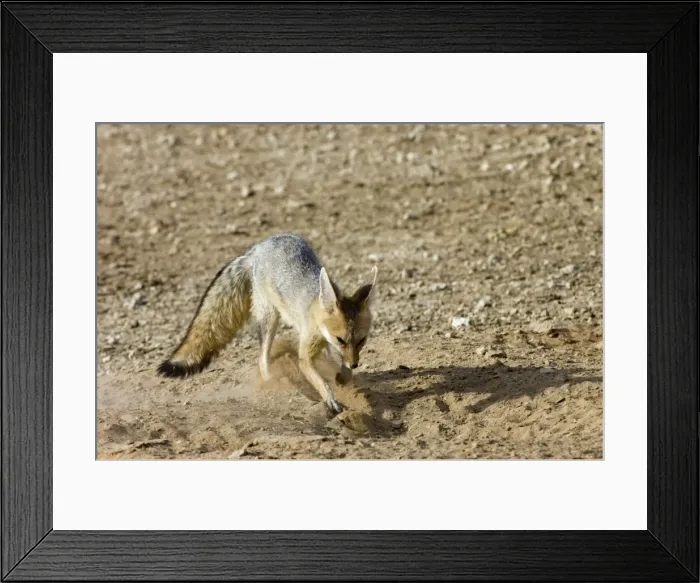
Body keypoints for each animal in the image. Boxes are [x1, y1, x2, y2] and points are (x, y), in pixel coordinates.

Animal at [156, 233, 378, 415]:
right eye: (341, 339)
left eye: (361, 341)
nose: (355, 363)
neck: (315, 310)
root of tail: (260, 246)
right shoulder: (306, 354)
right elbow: (318, 378)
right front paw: (330, 397)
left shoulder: (329, 344)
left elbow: (339, 365)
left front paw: (344, 375)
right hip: (270, 319)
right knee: (262, 358)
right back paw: (274, 383)